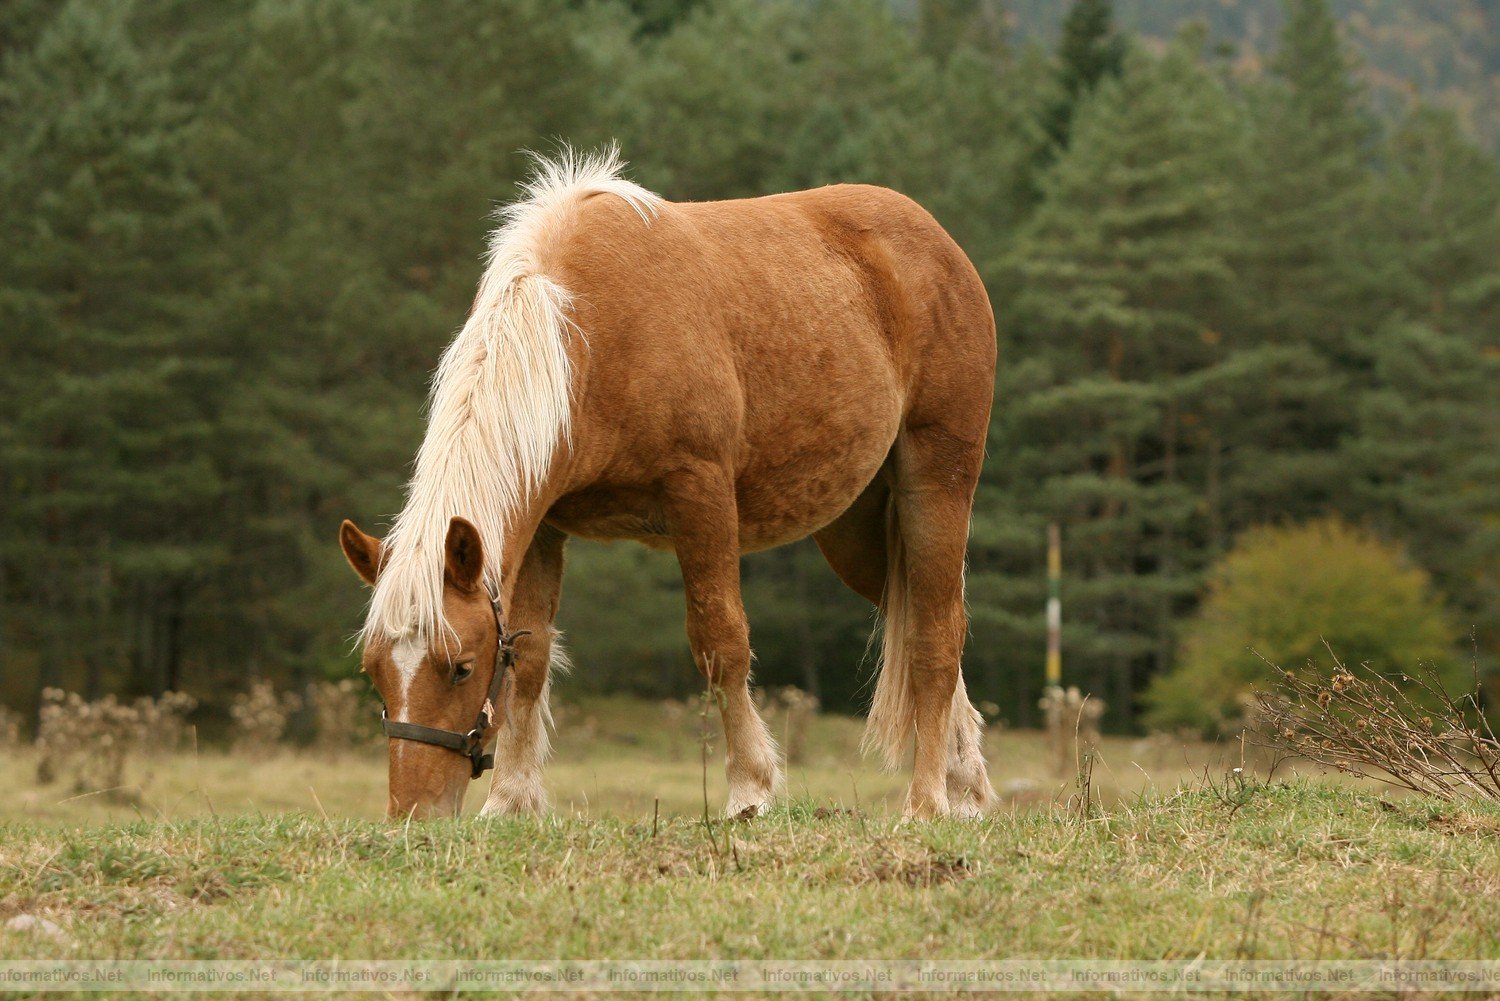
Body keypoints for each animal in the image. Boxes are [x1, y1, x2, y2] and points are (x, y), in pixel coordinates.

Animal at [340, 150, 996, 822]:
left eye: (461, 668)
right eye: (376, 672)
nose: (413, 816)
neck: (587, 331)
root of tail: (937, 241)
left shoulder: (699, 493)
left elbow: (721, 640)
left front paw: (750, 788)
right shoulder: (543, 524)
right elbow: (532, 656)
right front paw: (510, 801)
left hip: (935, 481)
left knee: (936, 636)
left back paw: (926, 801)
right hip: (857, 532)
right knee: (921, 618)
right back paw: (964, 785)